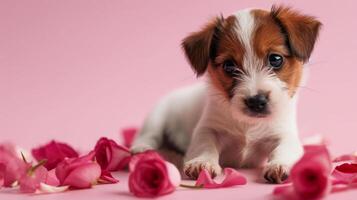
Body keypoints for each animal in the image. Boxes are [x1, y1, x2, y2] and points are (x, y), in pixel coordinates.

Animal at [130, 4, 320, 184]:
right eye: (229, 66)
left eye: (275, 59)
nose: (256, 101)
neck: (248, 125)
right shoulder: (207, 128)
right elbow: (205, 144)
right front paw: (203, 162)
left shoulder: (284, 134)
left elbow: (285, 148)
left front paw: (279, 164)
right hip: (157, 115)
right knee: (149, 134)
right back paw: (142, 149)